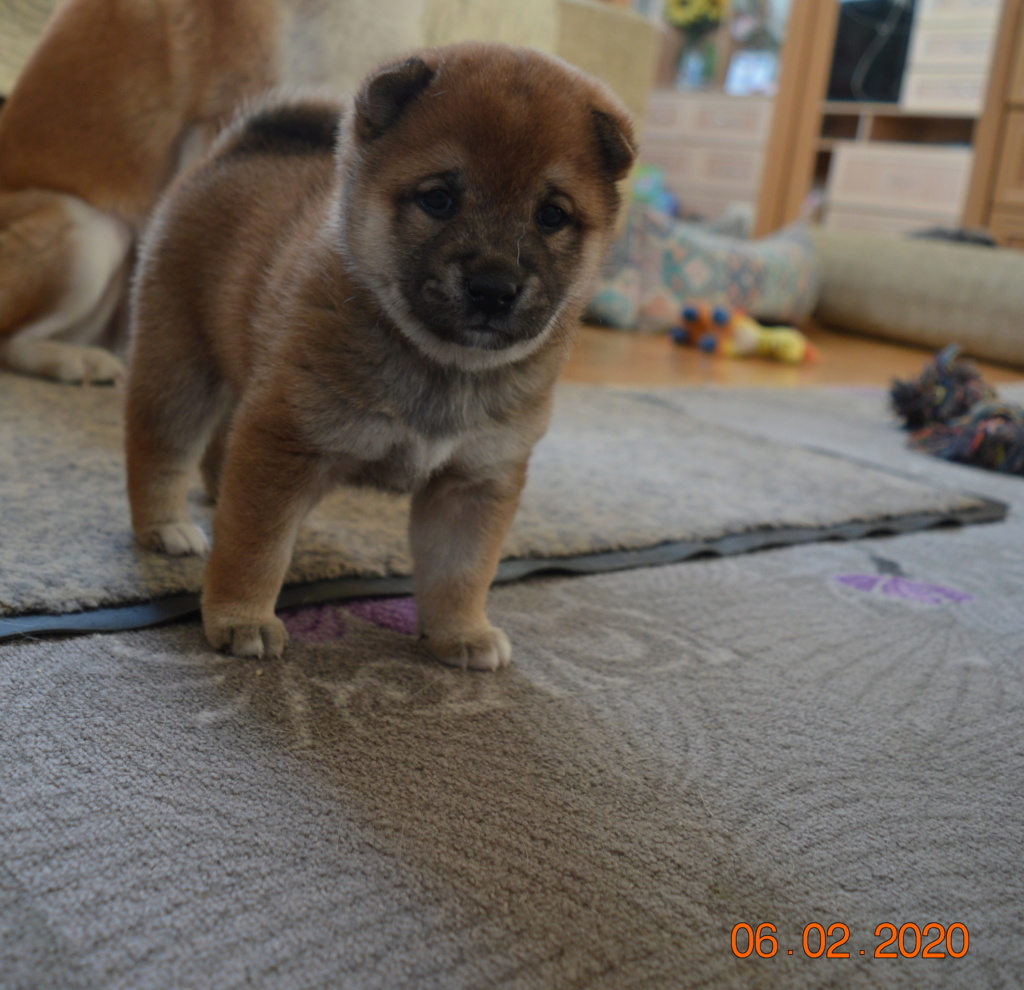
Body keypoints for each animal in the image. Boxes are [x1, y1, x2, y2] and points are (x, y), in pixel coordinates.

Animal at [123, 42, 634, 671]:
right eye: (438, 198)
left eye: (552, 215)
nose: (494, 287)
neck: (441, 367)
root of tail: (239, 148)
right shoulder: (286, 441)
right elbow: (255, 546)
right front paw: (242, 617)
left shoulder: (474, 480)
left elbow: (461, 570)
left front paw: (461, 632)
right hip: (181, 368)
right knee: (161, 451)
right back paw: (165, 527)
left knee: (221, 446)